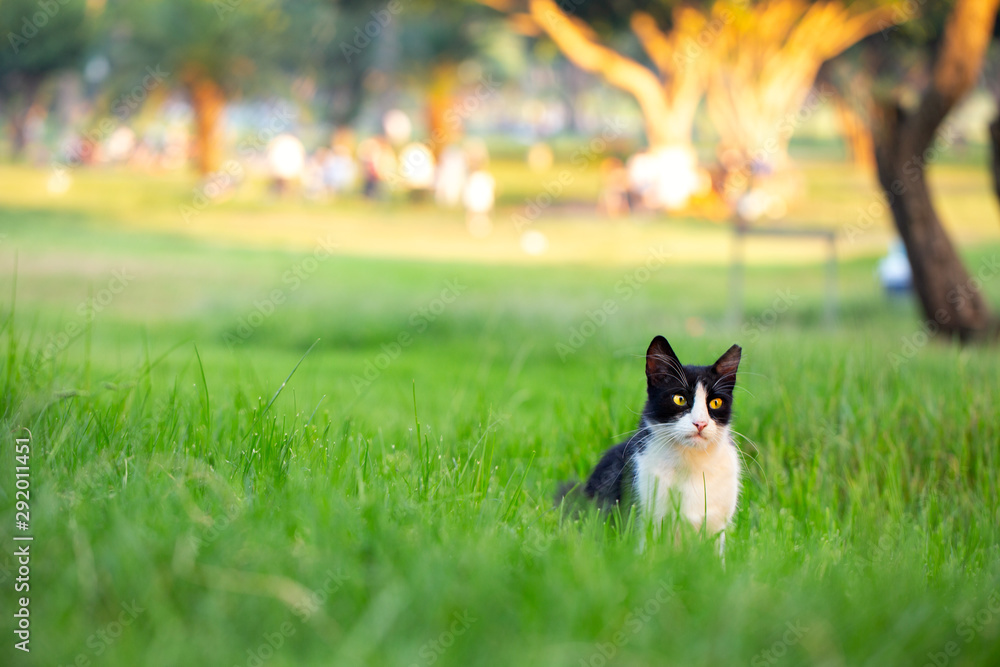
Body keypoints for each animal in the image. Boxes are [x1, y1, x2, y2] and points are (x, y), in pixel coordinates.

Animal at [584, 336, 740, 552]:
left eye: (715, 402)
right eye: (679, 399)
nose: (700, 423)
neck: (692, 461)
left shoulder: (718, 522)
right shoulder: (646, 513)